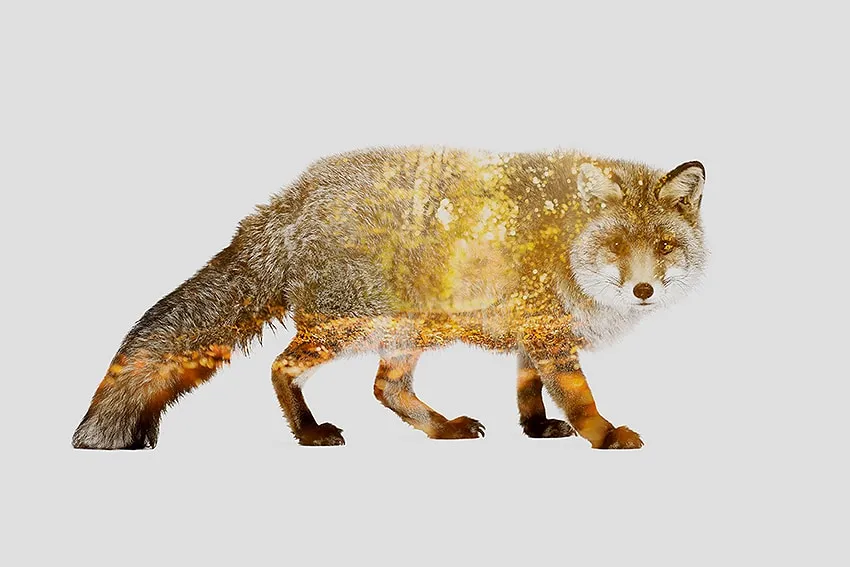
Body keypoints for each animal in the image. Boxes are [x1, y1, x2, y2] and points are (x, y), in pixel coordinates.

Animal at [72, 146, 706, 450]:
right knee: (282, 367)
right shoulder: (550, 332)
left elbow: (528, 389)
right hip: (349, 326)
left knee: (386, 389)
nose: (643, 289)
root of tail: (294, 196)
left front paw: (535, 430)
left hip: (406, 332)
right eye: (617, 246)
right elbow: (579, 398)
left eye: (664, 246)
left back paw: (442, 429)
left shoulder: (535, 331)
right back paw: (308, 434)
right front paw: (605, 436)